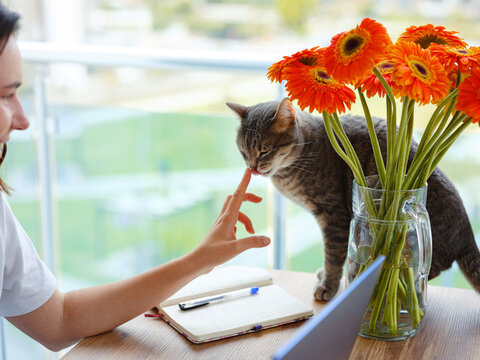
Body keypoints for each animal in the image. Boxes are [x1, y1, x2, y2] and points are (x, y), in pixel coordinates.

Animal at [226, 97, 480, 300]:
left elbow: (332, 255)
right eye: (243, 151)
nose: (252, 167)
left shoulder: (334, 215)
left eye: (264, 150)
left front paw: (327, 286)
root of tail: (468, 234)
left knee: (418, 274)